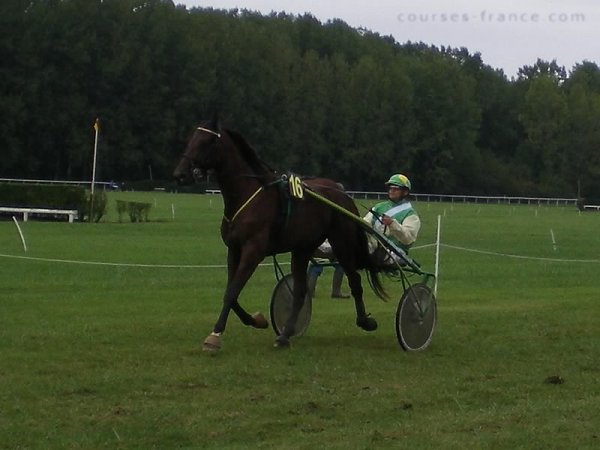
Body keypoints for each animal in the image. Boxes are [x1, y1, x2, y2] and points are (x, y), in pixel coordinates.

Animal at [173, 118, 384, 352]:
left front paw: (215, 335)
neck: (247, 195)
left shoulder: (253, 251)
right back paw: (285, 335)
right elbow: (232, 293)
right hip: (302, 249)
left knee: (354, 279)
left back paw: (365, 321)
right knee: (300, 292)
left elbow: (232, 292)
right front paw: (257, 320)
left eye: (207, 142)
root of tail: (342, 193)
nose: (180, 174)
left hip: (342, 243)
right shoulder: (234, 250)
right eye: (191, 139)